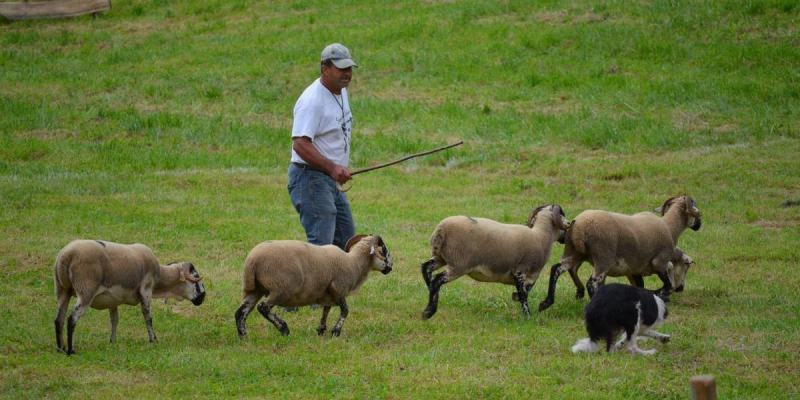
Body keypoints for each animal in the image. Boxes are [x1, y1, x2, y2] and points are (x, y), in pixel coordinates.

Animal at [52, 239, 205, 354]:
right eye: (196, 278)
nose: (203, 297)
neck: (161, 279)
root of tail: (66, 256)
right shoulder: (146, 291)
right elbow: (148, 317)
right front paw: (153, 340)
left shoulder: (112, 301)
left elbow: (114, 320)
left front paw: (112, 342)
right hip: (86, 290)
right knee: (72, 318)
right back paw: (71, 350)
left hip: (62, 290)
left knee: (59, 319)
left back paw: (60, 348)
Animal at [233, 233, 392, 340]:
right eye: (384, 251)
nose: (391, 267)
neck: (354, 263)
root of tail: (252, 261)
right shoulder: (339, 290)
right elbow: (345, 311)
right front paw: (336, 332)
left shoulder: (328, 295)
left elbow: (325, 311)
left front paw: (321, 330)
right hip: (280, 289)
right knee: (263, 307)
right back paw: (284, 329)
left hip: (254, 289)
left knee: (241, 312)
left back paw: (244, 337)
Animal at [418, 203, 568, 318]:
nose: (565, 236)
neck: (541, 236)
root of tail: (440, 230)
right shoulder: (520, 272)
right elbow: (524, 296)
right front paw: (528, 316)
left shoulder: (528, 277)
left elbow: (524, 292)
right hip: (458, 264)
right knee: (437, 279)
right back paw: (429, 312)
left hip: (441, 257)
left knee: (426, 269)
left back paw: (431, 296)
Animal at [536, 195, 700, 310]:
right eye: (687, 265)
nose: (681, 288)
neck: (669, 227)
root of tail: (580, 227)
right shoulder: (659, 262)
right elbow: (666, 286)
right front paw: (659, 295)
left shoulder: (633, 270)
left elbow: (640, 286)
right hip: (603, 257)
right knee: (591, 282)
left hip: (573, 252)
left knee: (558, 269)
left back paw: (547, 302)